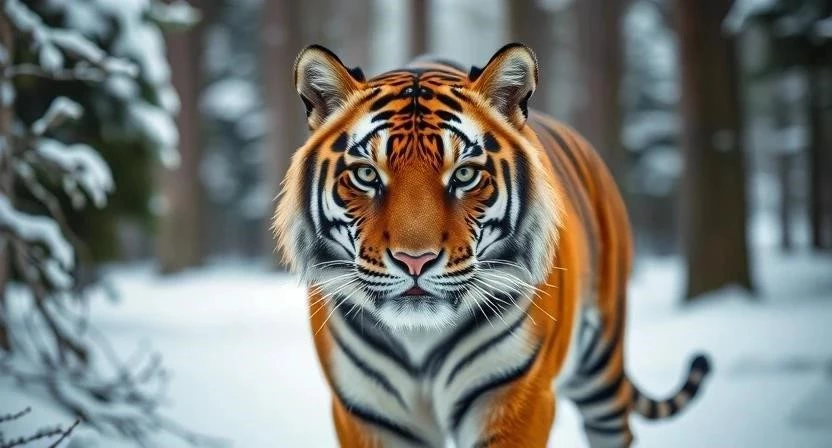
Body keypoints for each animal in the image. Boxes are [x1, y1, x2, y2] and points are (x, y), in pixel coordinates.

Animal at [273, 43, 711, 448]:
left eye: (464, 175)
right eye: (366, 174)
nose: (415, 261)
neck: (419, 339)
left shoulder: (515, 397)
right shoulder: (365, 414)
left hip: (601, 367)